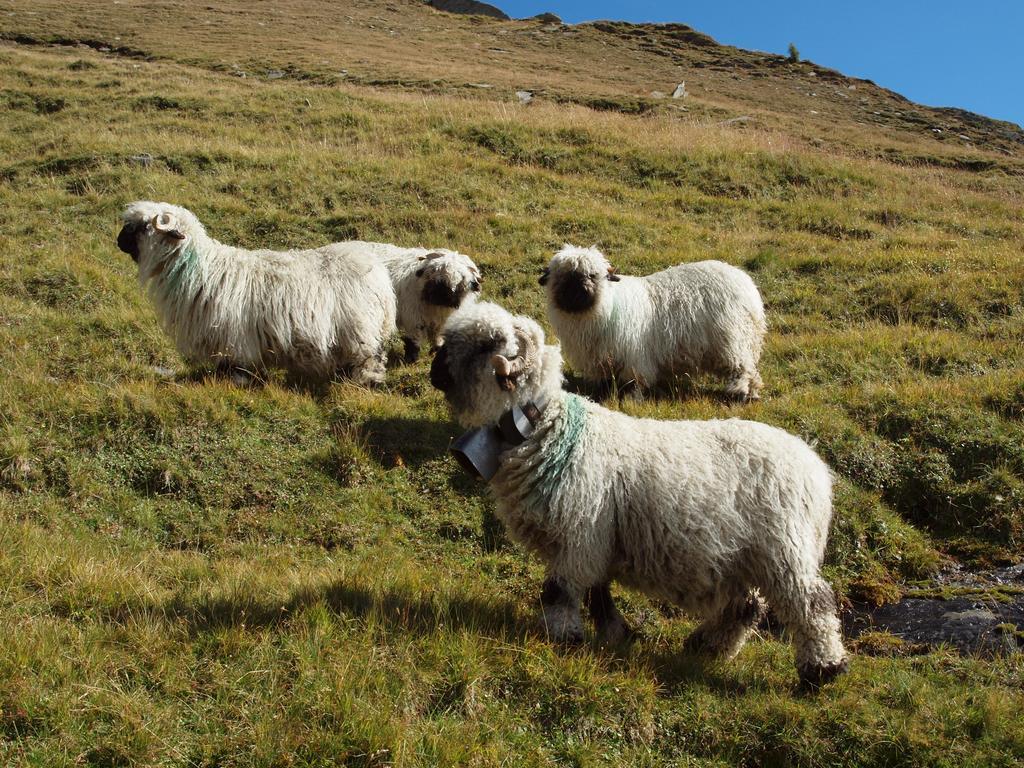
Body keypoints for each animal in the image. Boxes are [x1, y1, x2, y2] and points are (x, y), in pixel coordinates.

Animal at [115, 202, 395, 387]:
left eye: (142, 227)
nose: (117, 241)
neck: (201, 270)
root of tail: (380, 275)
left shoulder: (234, 337)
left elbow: (236, 367)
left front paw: (236, 383)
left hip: (360, 329)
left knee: (371, 358)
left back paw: (363, 382)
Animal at [430, 303, 847, 692]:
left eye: (485, 344)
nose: (434, 370)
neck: (550, 431)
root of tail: (816, 469)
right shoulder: (596, 541)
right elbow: (598, 592)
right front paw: (616, 634)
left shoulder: (579, 533)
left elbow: (559, 592)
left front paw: (563, 638)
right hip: (744, 556)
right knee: (744, 608)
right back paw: (707, 646)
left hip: (784, 549)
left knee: (812, 605)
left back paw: (823, 669)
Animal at [540, 244, 765, 403]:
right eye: (561, 276)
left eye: (592, 275)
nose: (576, 288)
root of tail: (747, 284)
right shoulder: (600, 359)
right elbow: (604, 380)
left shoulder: (634, 356)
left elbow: (636, 382)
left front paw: (632, 400)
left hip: (732, 341)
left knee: (743, 368)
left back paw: (740, 393)